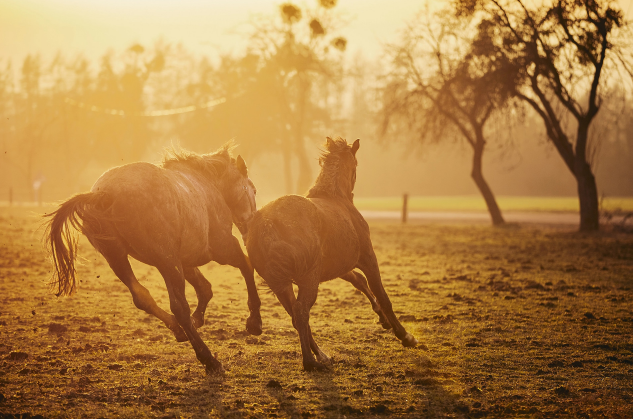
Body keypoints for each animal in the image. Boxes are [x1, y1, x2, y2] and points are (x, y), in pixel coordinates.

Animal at [44, 143, 260, 372]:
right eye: (253, 189)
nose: (249, 227)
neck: (208, 184)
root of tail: (104, 195)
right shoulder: (221, 247)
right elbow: (246, 266)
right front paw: (254, 321)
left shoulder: (184, 259)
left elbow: (205, 288)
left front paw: (198, 318)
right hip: (167, 261)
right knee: (179, 307)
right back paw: (208, 359)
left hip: (119, 258)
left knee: (143, 297)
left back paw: (178, 329)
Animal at [244, 137, 418, 370]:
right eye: (356, 164)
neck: (337, 199)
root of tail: (267, 224)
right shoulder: (367, 258)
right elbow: (381, 293)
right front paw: (405, 335)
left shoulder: (339, 266)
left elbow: (359, 282)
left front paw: (383, 319)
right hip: (308, 279)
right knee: (301, 313)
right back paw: (310, 361)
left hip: (281, 284)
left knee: (295, 316)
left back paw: (320, 355)